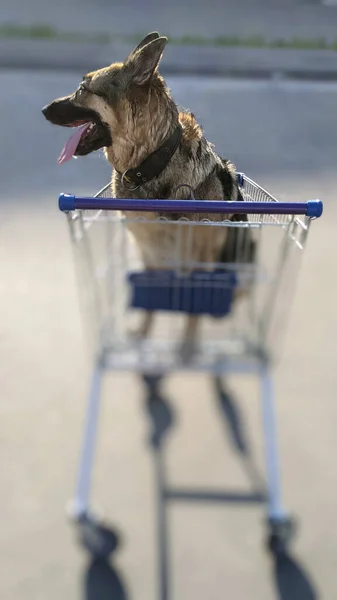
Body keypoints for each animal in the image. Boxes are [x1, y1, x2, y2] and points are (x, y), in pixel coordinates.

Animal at [41, 32, 252, 358]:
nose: (43, 110)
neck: (152, 162)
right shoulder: (147, 250)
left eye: (82, 89)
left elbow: (193, 307)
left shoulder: (199, 257)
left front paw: (187, 345)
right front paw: (143, 333)